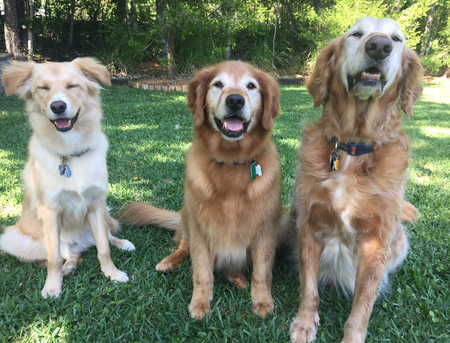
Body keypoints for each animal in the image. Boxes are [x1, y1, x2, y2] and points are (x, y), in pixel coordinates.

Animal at [0, 58, 134, 298]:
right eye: (43, 88)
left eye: (72, 86)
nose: (58, 106)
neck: (70, 152)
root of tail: (78, 243)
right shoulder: (50, 212)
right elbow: (53, 257)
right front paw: (53, 286)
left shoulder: (96, 204)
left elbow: (104, 248)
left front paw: (112, 273)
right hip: (12, 239)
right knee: (65, 254)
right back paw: (68, 267)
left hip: (101, 215)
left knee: (106, 236)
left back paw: (122, 243)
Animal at [118, 61, 288, 320]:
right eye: (218, 84)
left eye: (251, 86)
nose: (235, 100)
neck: (231, 163)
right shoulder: (201, 227)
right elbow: (202, 272)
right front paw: (199, 302)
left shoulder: (266, 229)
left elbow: (262, 271)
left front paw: (262, 301)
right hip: (188, 216)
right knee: (183, 246)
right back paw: (169, 261)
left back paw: (238, 278)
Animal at [288, 16, 422, 343]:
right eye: (356, 34)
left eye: (397, 39)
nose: (379, 46)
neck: (353, 147)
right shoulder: (308, 225)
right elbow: (308, 287)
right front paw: (304, 323)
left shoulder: (377, 242)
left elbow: (363, 305)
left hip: (398, 242)